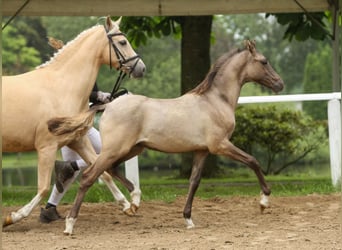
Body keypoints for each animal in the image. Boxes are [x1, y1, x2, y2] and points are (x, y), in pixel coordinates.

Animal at [2, 15, 146, 227]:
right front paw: (13, 217)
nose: (141, 68)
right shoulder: (47, 147)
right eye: (122, 42)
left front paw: (128, 205)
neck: (61, 87)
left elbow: (103, 173)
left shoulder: (78, 140)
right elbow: (43, 188)